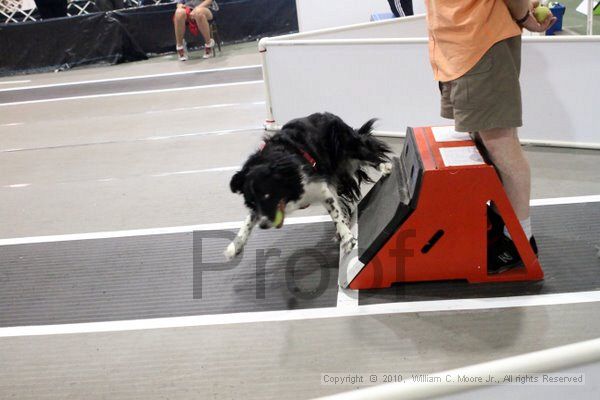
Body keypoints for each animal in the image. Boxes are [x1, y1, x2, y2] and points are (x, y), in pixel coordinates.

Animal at [223, 112, 392, 260]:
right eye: (251, 202)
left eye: (267, 195)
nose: (263, 225)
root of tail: (326, 114)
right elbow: (248, 221)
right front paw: (235, 246)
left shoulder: (321, 189)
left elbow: (335, 214)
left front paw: (348, 239)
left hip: (350, 147)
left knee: (370, 155)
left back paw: (384, 166)